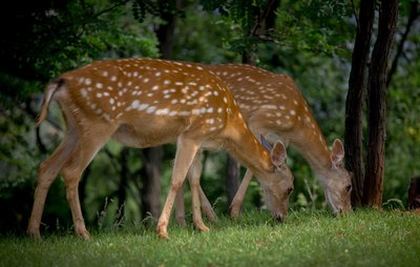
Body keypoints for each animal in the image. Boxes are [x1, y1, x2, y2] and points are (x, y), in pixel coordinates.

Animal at [27, 58, 294, 241]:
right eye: (290, 188)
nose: (282, 218)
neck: (228, 123)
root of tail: (62, 82)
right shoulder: (192, 132)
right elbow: (177, 179)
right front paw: (163, 230)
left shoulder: (196, 138)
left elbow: (194, 179)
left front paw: (201, 226)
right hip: (97, 123)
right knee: (71, 172)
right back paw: (83, 233)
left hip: (73, 128)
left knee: (46, 167)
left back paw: (34, 233)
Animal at [176, 63, 352, 223]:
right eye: (348, 186)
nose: (347, 212)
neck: (296, 123)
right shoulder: (258, 122)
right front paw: (234, 211)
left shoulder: (280, 140)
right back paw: (207, 217)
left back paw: (184, 221)